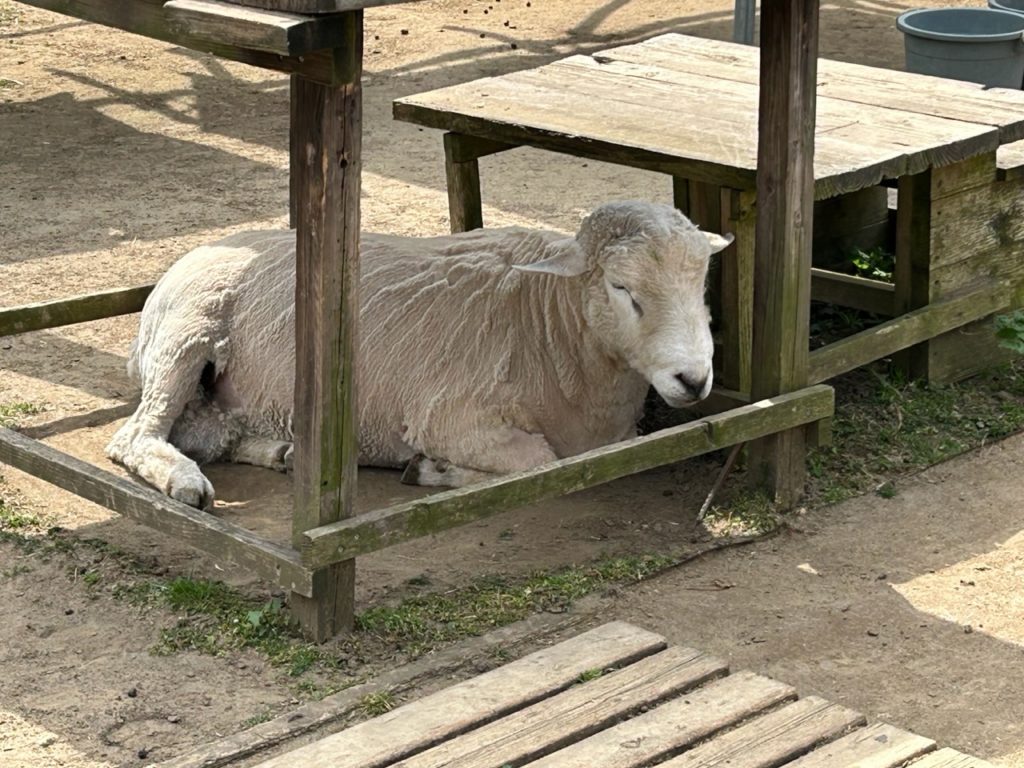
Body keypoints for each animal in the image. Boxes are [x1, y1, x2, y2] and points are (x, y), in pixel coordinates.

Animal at [106, 201, 733, 509]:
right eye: (622, 288)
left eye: (701, 282)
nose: (693, 378)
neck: (550, 321)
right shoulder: (452, 416)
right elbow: (539, 463)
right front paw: (432, 470)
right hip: (185, 338)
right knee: (136, 437)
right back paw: (185, 483)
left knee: (209, 431)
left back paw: (282, 451)